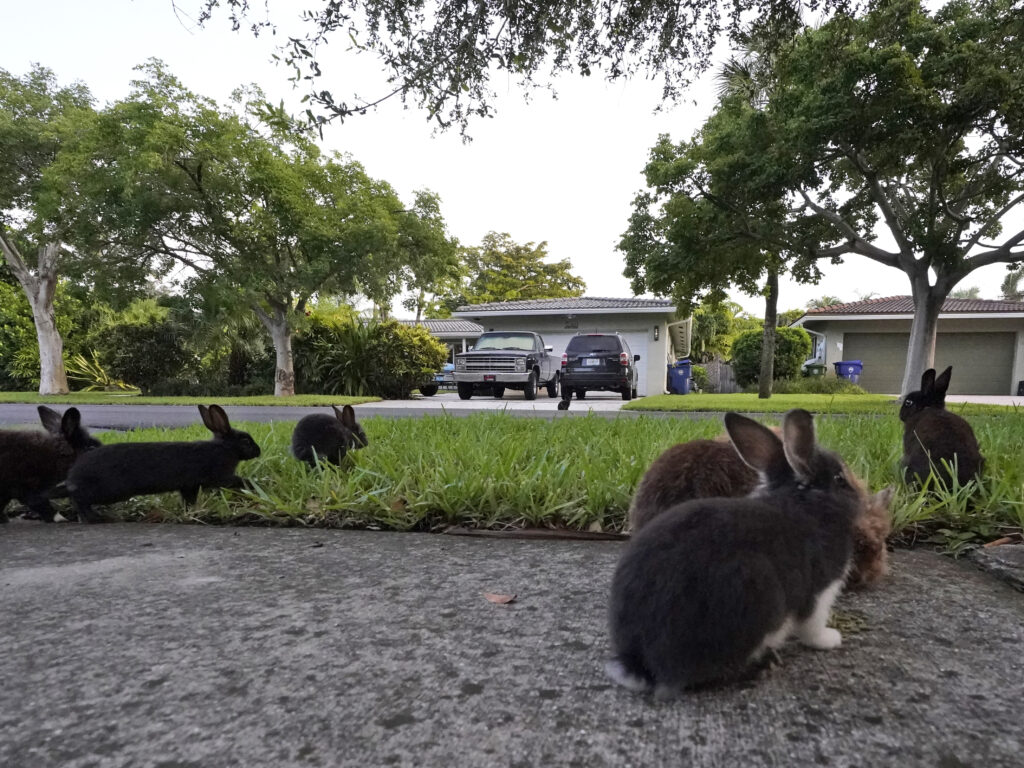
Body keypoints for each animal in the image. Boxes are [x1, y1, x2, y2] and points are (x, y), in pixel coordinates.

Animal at [66, 403, 260, 524]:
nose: (258, 451)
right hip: (109, 491)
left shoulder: (189, 486)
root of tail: (74, 475)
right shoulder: (219, 476)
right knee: (80, 499)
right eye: (246, 441)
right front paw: (251, 486)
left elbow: (189, 500)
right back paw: (95, 518)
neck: (225, 448)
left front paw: (191, 512)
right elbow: (236, 480)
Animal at [606, 411, 864, 700]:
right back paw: (761, 666)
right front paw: (830, 639)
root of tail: (641, 665)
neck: (805, 500)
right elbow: (812, 626)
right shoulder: (820, 591)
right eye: (840, 479)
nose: (861, 496)